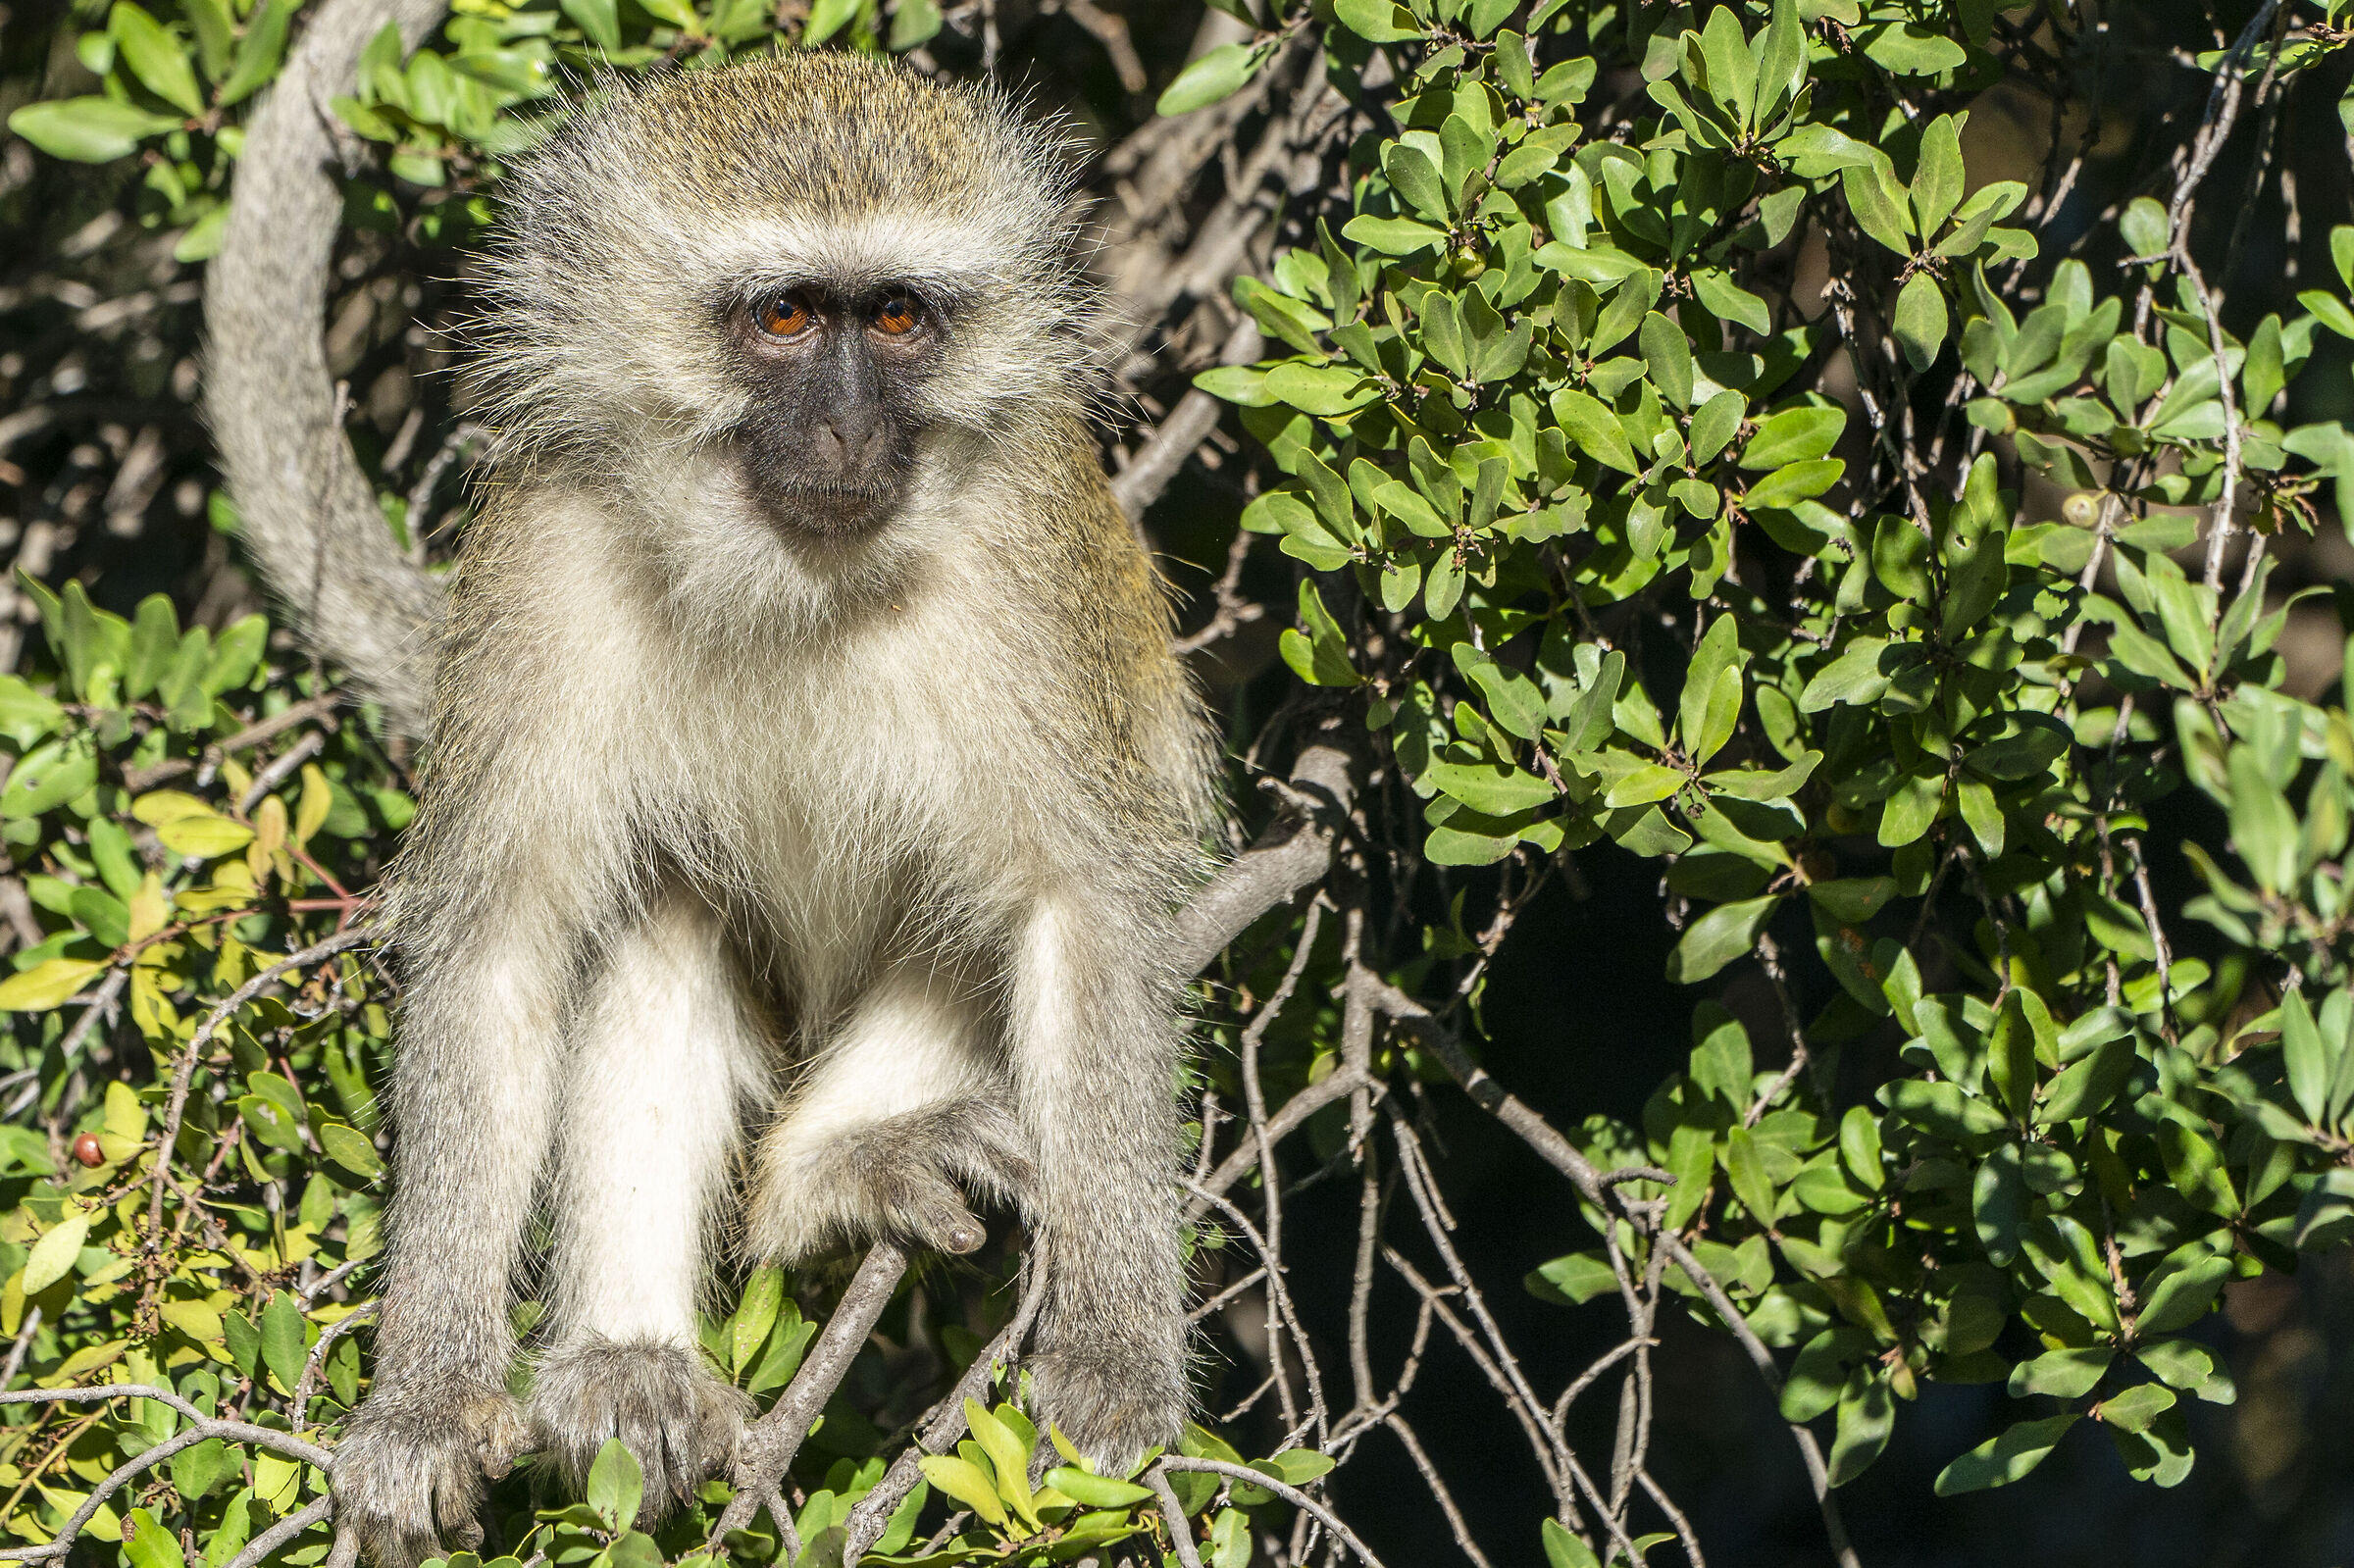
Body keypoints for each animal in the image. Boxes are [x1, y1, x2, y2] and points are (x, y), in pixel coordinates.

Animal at [302, 52, 1218, 1567]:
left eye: (898, 315)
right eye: (785, 314)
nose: (850, 425)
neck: (790, 571)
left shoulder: (1025, 544)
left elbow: (1076, 908)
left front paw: (1117, 1352)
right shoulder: (548, 541)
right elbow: (501, 938)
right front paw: (424, 1400)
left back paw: (830, 1167)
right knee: (658, 899)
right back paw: (628, 1362)